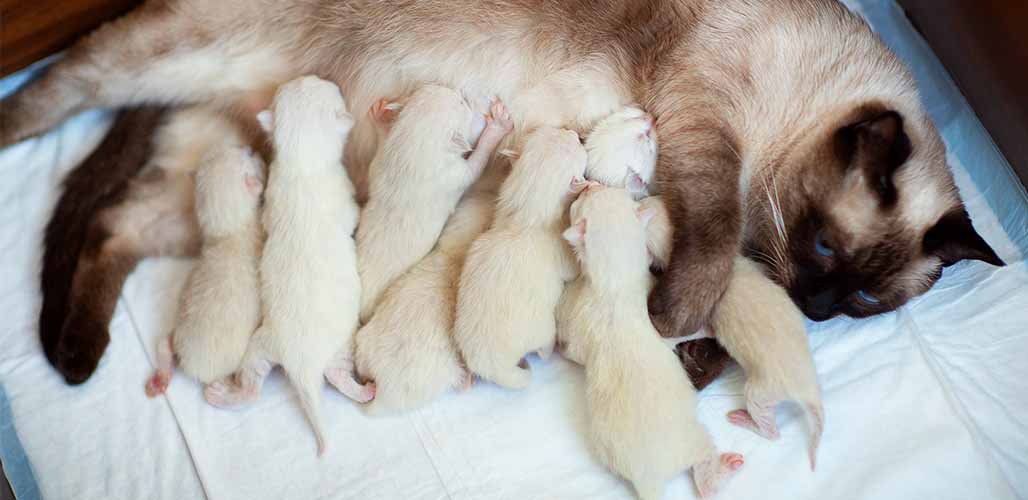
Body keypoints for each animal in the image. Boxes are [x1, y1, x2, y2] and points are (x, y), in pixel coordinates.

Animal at [144, 143, 265, 397]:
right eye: (248, 155)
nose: (249, 146)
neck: (227, 232)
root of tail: (190, 367)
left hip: (178, 332)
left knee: (164, 343)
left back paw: (161, 375)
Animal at [204, 76, 374, 454]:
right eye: (328, 87)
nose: (317, 76)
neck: (301, 163)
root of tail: (301, 367)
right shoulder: (341, 193)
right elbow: (353, 216)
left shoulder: (271, 195)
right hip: (341, 344)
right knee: (336, 376)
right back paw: (364, 390)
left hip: (260, 346)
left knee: (253, 387)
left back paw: (221, 395)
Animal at [357, 84, 514, 320]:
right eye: (462, 103)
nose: (460, 93)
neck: (411, 150)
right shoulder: (454, 174)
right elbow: (476, 164)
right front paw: (496, 127)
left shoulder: (380, 164)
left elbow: (378, 152)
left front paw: (380, 117)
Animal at [452, 126, 588, 390]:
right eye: (577, 144)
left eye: (558, 130)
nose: (576, 133)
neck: (527, 215)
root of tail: (492, 366)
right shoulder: (561, 249)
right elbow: (572, 270)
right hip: (544, 328)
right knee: (544, 348)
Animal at [559, 186, 744, 500]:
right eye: (581, 202)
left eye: (612, 191)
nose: (589, 185)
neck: (616, 282)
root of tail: (649, 478)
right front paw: (706, 327)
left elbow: (575, 352)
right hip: (693, 437)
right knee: (702, 460)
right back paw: (717, 473)